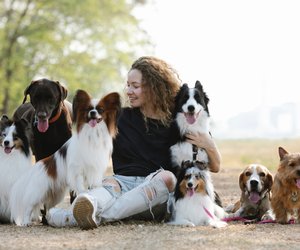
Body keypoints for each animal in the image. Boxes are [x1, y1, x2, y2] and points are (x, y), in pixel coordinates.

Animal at [9, 89, 121, 226]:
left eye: (100, 109)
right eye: (88, 109)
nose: (93, 113)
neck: (93, 134)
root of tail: (36, 168)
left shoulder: (96, 169)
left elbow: (95, 186)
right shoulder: (77, 169)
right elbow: (81, 186)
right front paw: (84, 195)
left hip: (55, 195)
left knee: (47, 206)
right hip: (37, 192)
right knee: (29, 206)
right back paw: (25, 222)